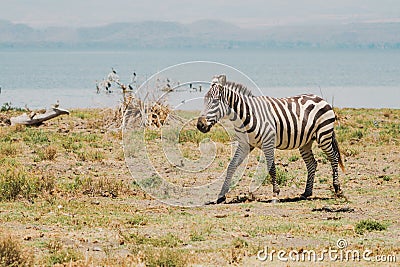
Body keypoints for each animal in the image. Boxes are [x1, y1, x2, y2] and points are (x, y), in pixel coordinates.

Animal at [197, 74, 344, 204]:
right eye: (204, 100)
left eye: (215, 101)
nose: (200, 125)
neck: (246, 115)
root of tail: (320, 98)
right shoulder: (245, 144)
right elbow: (232, 166)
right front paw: (221, 195)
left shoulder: (268, 143)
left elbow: (271, 168)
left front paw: (275, 194)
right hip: (305, 142)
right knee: (312, 163)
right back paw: (307, 192)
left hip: (323, 136)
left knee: (333, 158)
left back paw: (337, 189)